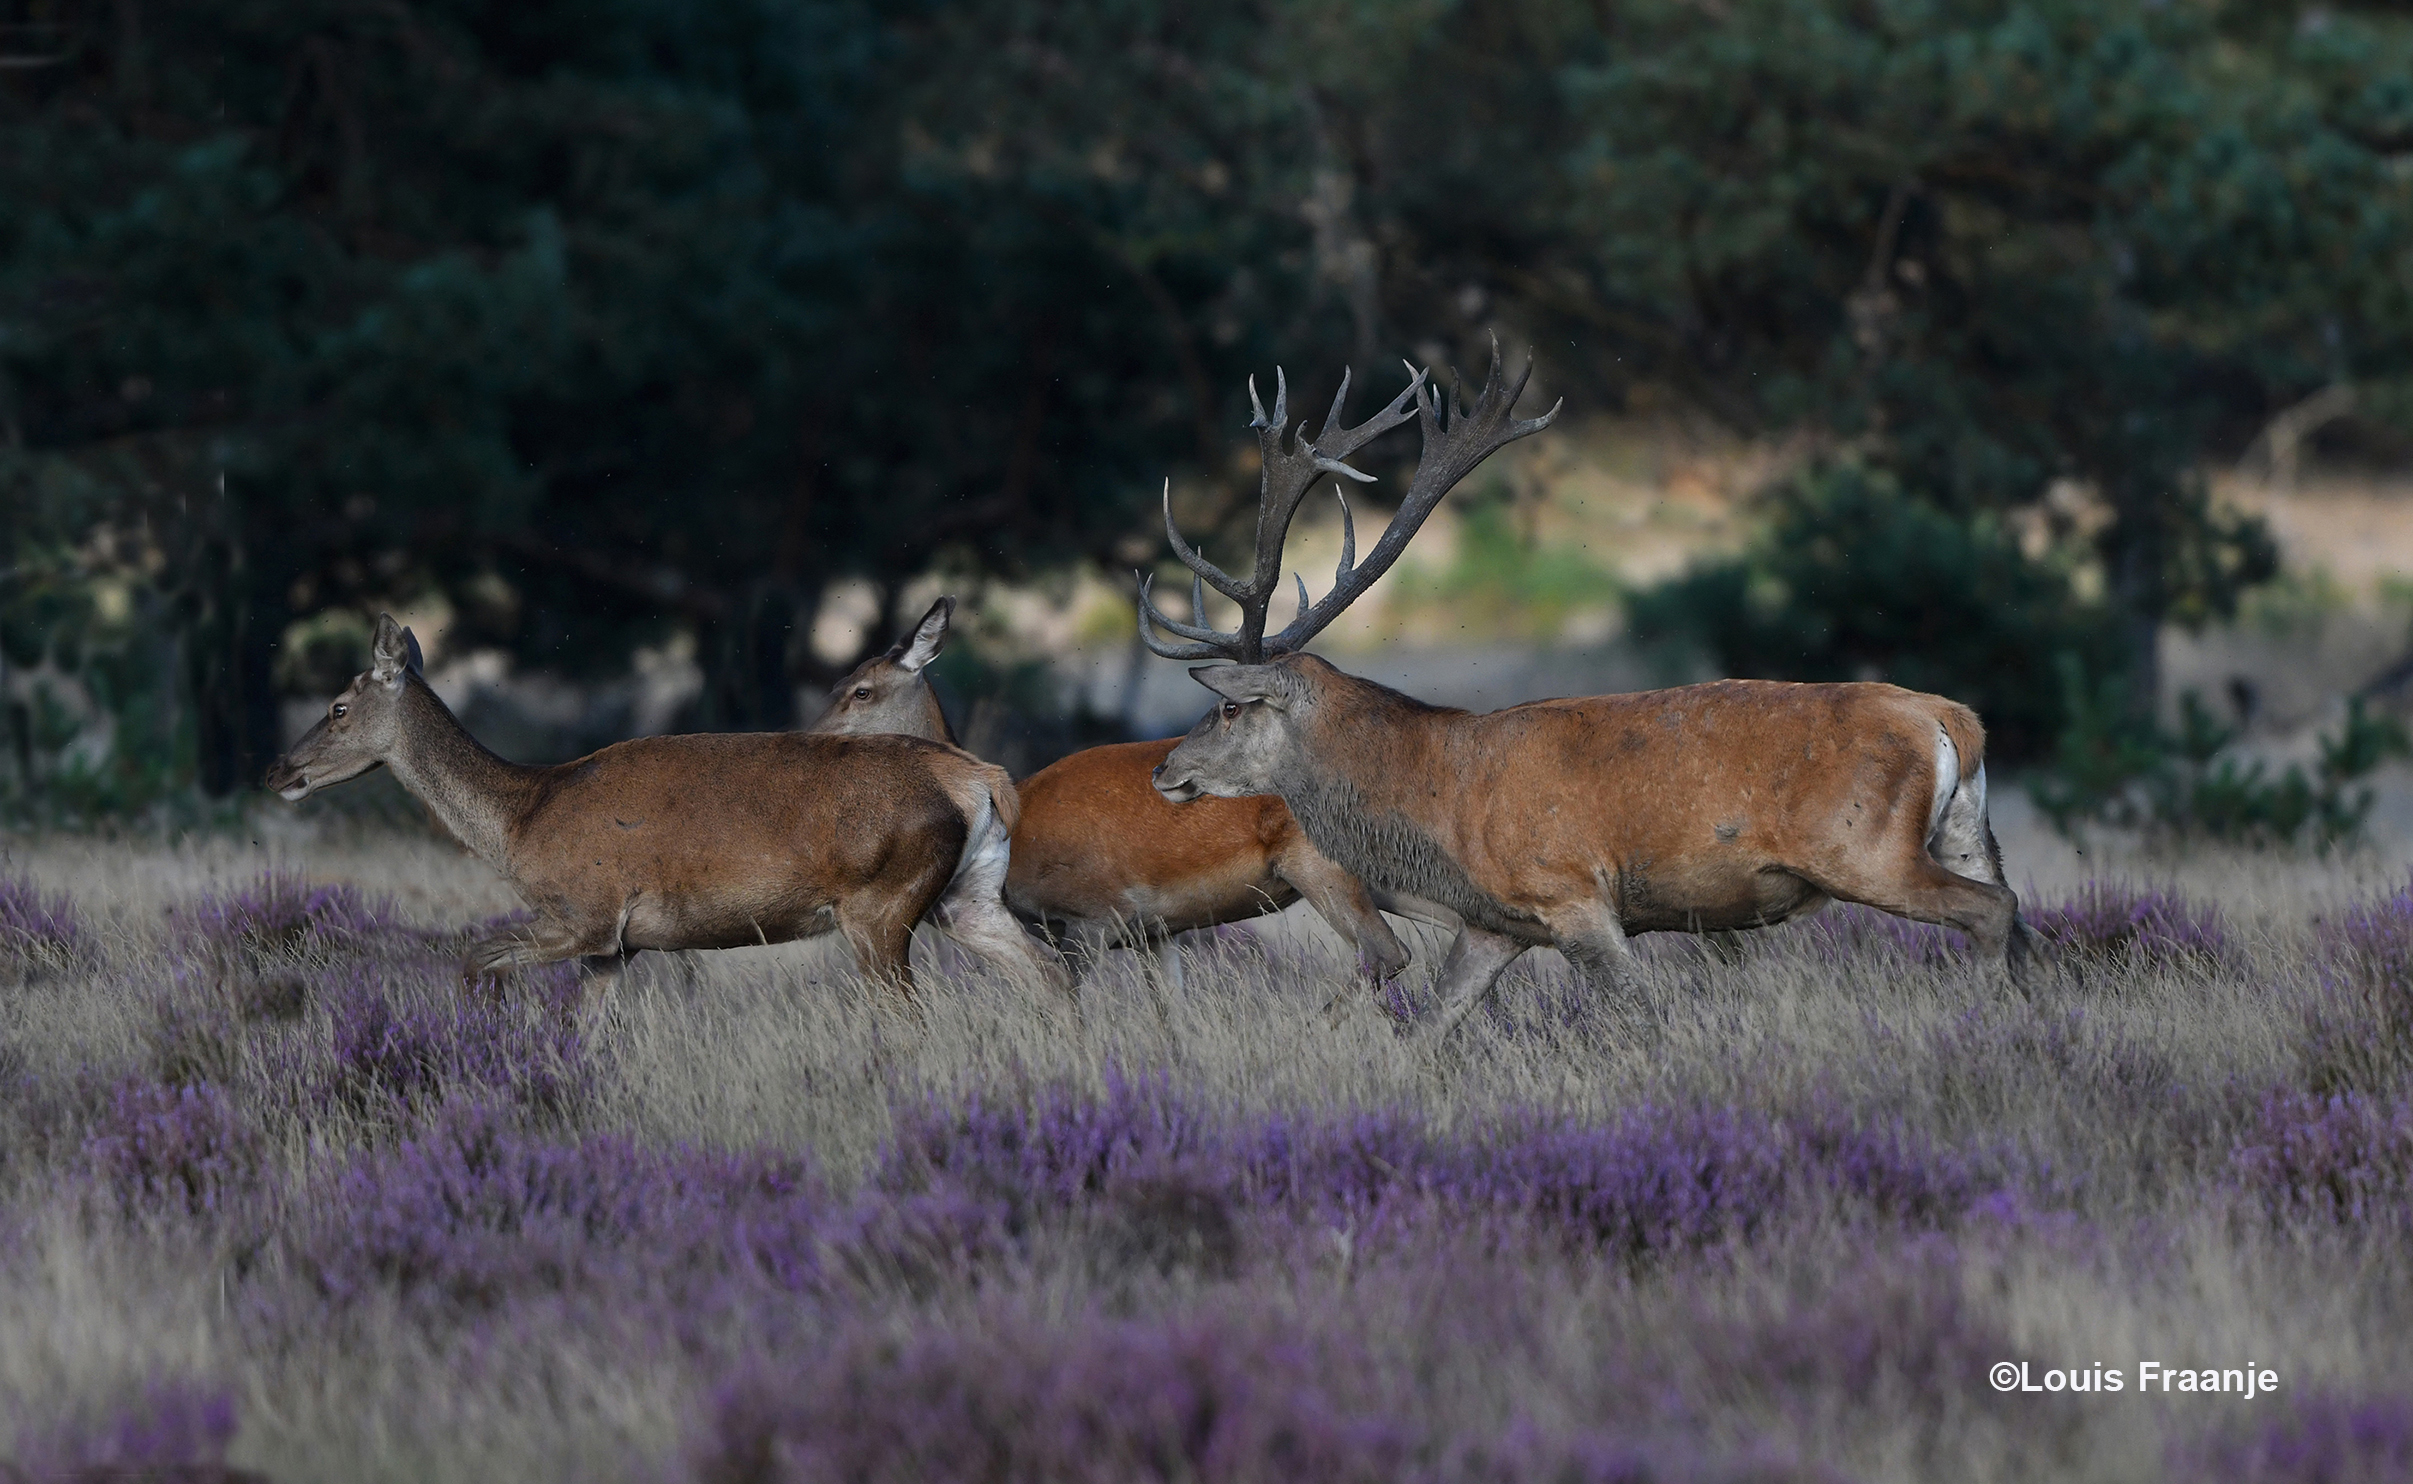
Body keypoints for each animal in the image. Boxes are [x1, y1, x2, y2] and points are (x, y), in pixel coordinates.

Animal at [256, 610, 1076, 1003]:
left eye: (336, 707)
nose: (276, 770)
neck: (520, 820)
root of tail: (979, 779)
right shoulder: (613, 950)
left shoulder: (585, 913)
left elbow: (472, 960)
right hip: (964, 897)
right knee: (1049, 972)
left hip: (881, 904)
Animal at [805, 591, 1428, 989]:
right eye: (837, 682)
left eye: (861, 691)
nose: (810, 739)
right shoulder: (1156, 932)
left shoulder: (1089, 918)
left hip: (1320, 864)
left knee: (1386, 954)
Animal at [1138, 345, 2026, 1047]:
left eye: (1227, 706)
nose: (1163, 771)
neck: (1436, 802)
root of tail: (1951, 719)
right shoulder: (1494, 925)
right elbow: (1430, 1029)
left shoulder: (1568, 891)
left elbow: (1643, 1013)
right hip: (1962, 831)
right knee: (2012, 907)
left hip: (1861, 846)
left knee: (1986, 911)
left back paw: (1976, 1028)